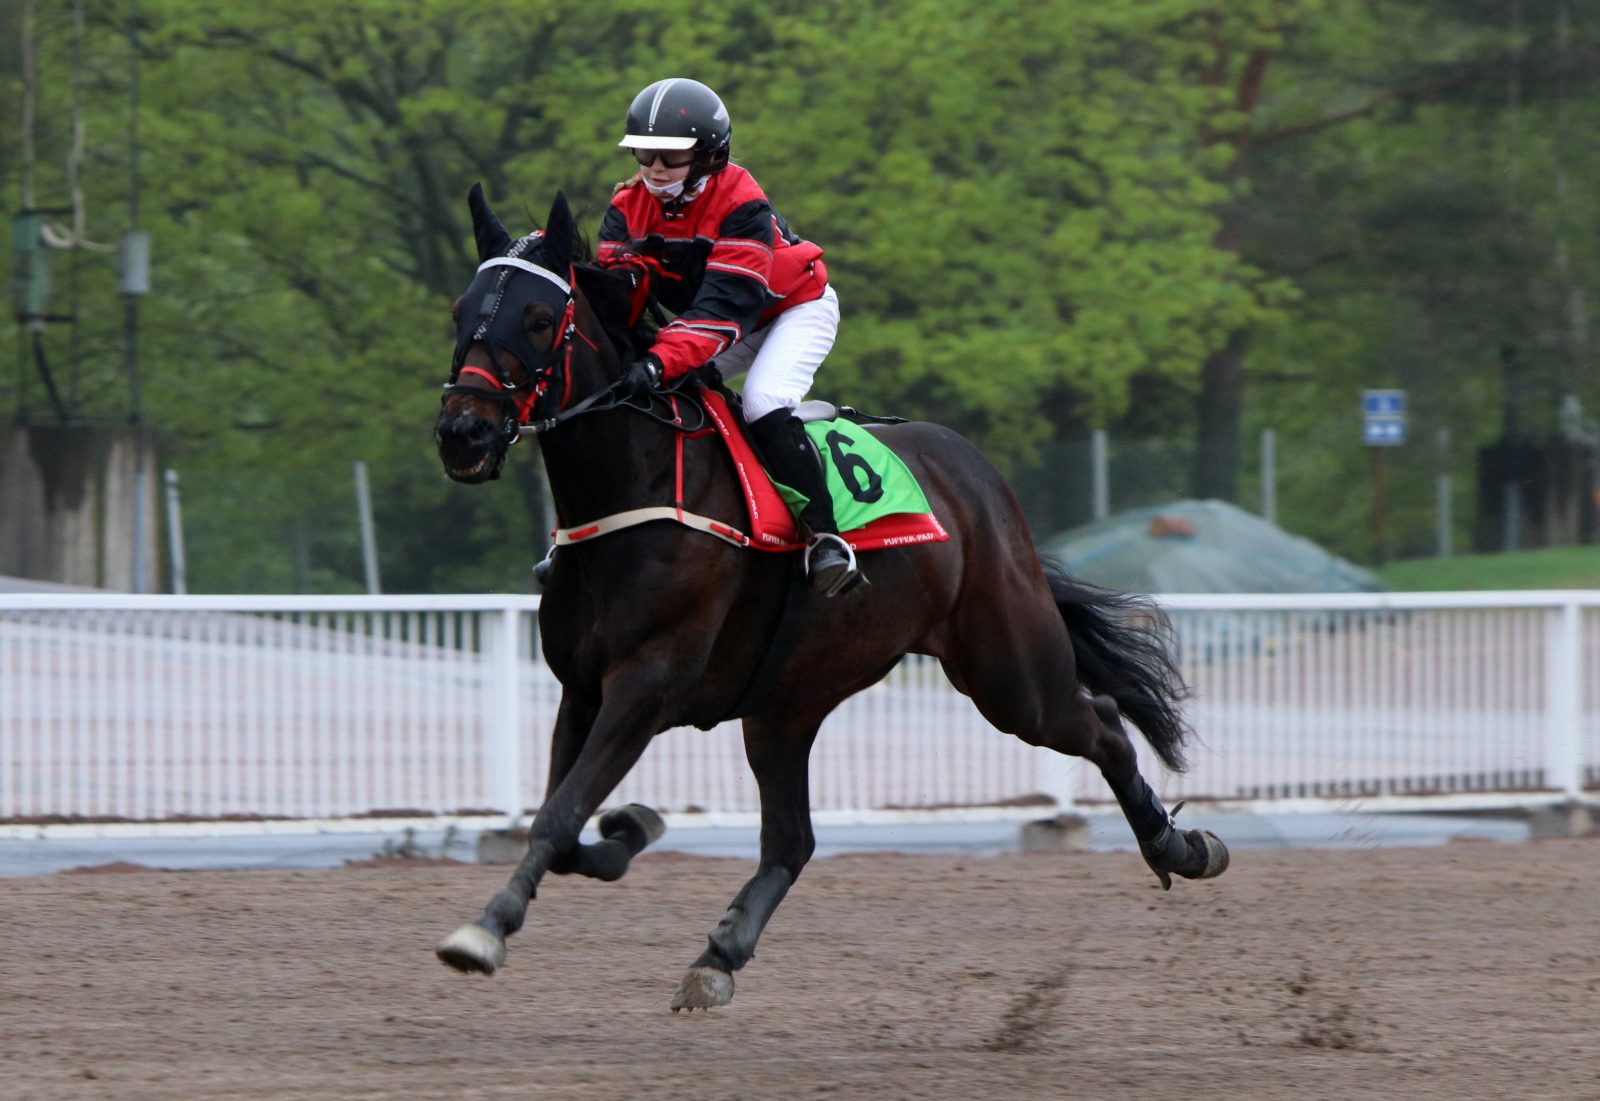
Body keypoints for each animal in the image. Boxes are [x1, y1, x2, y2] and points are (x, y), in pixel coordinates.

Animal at [425, 184, 1222, 1011]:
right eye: (459, 309)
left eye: (538, 317)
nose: (463, 431)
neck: (631, 493)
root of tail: (978, 475)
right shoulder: (583, 689)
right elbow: (565, 822)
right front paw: (629, 830)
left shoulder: (645, 684)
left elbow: (558, 814)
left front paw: (485, 930)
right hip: (787, 703)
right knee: (793, 838)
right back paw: (719, 954)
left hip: (1010, 672)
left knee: (1102, 723)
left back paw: (1180, 845)